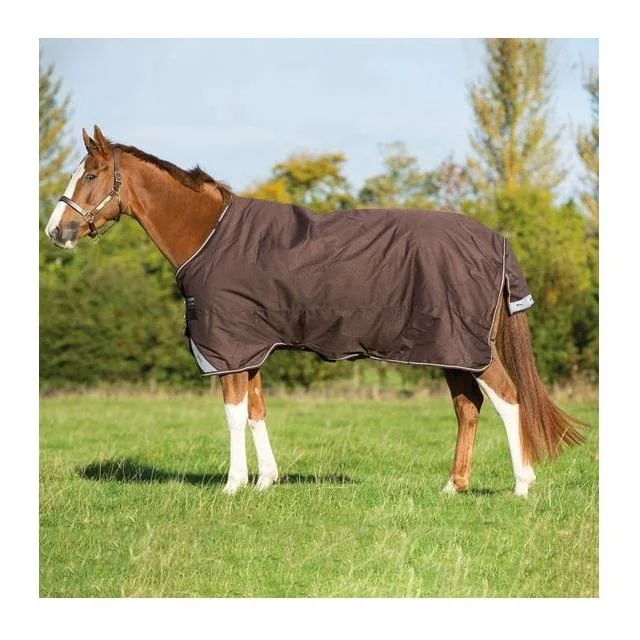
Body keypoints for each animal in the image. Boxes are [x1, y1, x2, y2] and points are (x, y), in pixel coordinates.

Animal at [44, 126, 585, 497]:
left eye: (90, 175)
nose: (55, 230)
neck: (210, 235)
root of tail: (496, 239)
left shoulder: (229, 346)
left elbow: (233, 415)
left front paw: (232, 485)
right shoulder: (252, 347)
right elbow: (257, 411)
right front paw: (266, 481)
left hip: (469, 346)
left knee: (509, 399)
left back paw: (521, 485)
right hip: (451, 350)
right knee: (468, 408)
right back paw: (453, 486)